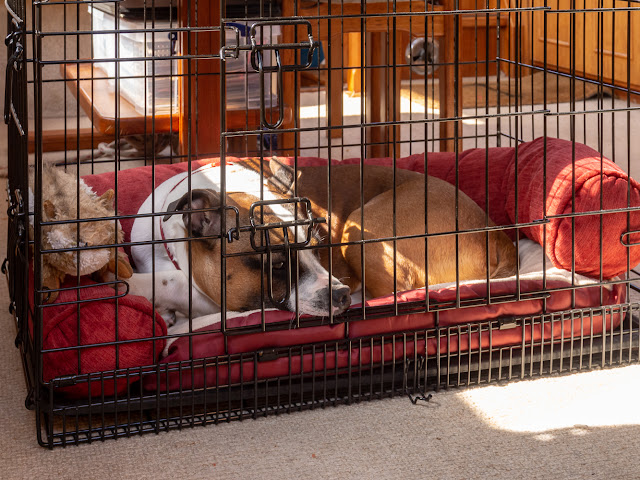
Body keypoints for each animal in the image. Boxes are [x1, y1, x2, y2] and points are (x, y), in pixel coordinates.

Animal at [127, 158, 516, 326]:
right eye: (278, 264)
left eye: (317, 247)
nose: (340, 294)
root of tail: (494, 233)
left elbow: (168, 284)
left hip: (364, 229)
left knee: (393, 292)